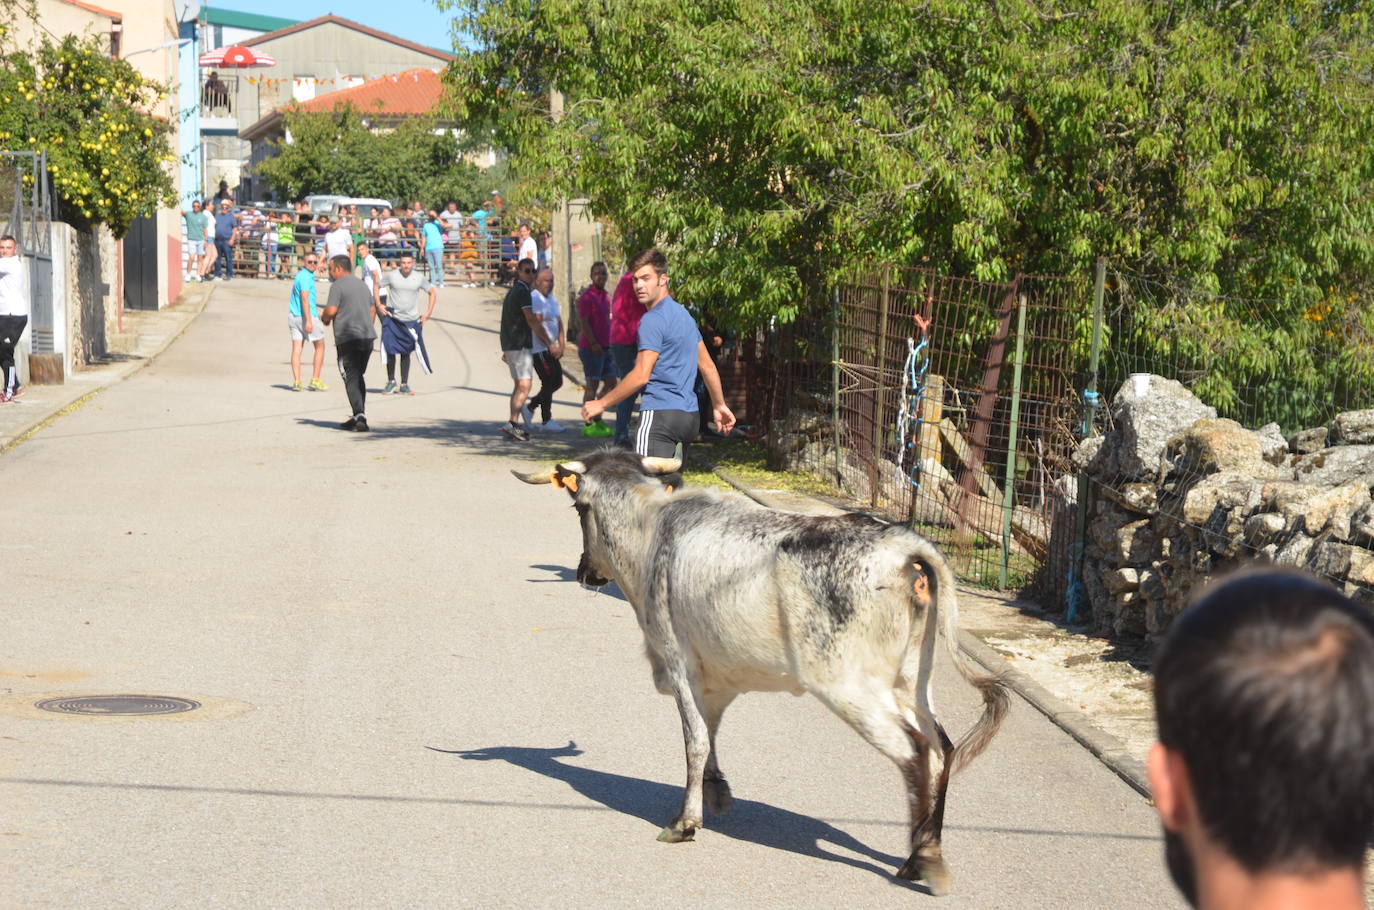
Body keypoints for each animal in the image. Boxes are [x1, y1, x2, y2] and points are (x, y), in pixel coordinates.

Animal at [516, 450, 1011, 896]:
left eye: (579, 509)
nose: (586, 573)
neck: (652, 531)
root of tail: (905, 546)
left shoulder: (676, 662)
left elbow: (695, 740)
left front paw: (685, 822)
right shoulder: (715, 676)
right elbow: (711, 732)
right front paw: (716, 792)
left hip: (849, 686)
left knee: (914, 752)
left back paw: (926, 860)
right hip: (911, 681)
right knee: (942, 749)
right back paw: (916, 856)